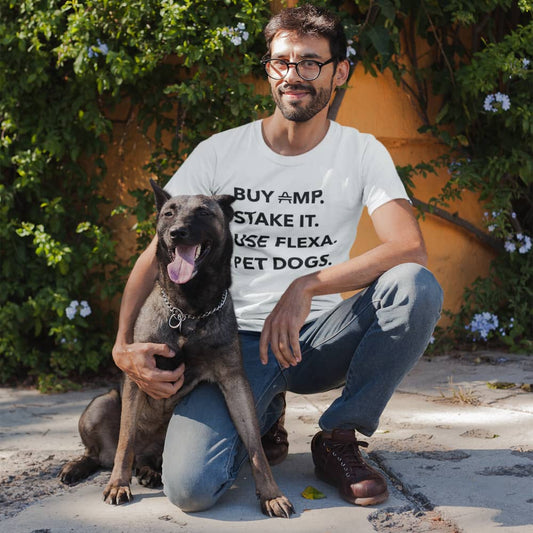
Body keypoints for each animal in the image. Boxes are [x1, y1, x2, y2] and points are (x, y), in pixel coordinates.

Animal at [60, 181, 296, 516]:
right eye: (168, 213)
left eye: (204, 212)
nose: (177, 232)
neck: (188, 309)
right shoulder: (137, 377)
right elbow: (125, 442)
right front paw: (118, 484)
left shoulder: (235, 383)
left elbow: (255, 447)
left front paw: (270, 494)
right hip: (100, 405)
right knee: (104, 453)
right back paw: (79, 467)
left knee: (142, 458)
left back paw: (149, 470)